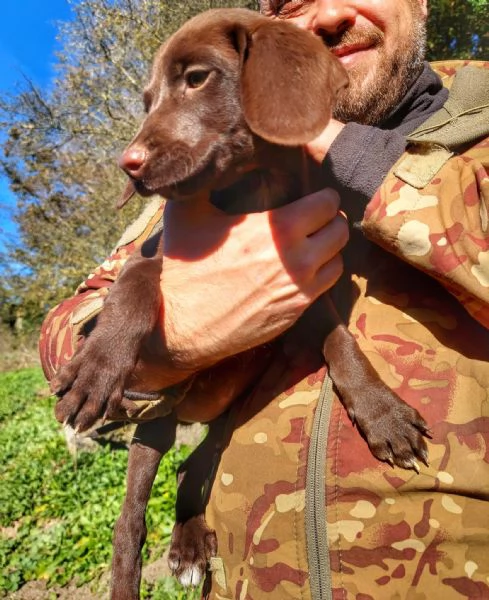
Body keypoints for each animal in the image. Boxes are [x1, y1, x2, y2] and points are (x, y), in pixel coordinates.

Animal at [51, 9, 428, 600]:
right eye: (148, 99)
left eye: (197, 78)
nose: (127, 165)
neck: (254, 191)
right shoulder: (155, 255)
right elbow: (132, 285)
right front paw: (96, 365)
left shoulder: (312, 287)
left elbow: (340, 341)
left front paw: (381, 411)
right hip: (153, 427)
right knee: (129, 524)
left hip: (228, 414)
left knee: (191, 468)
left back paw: (188, 546)